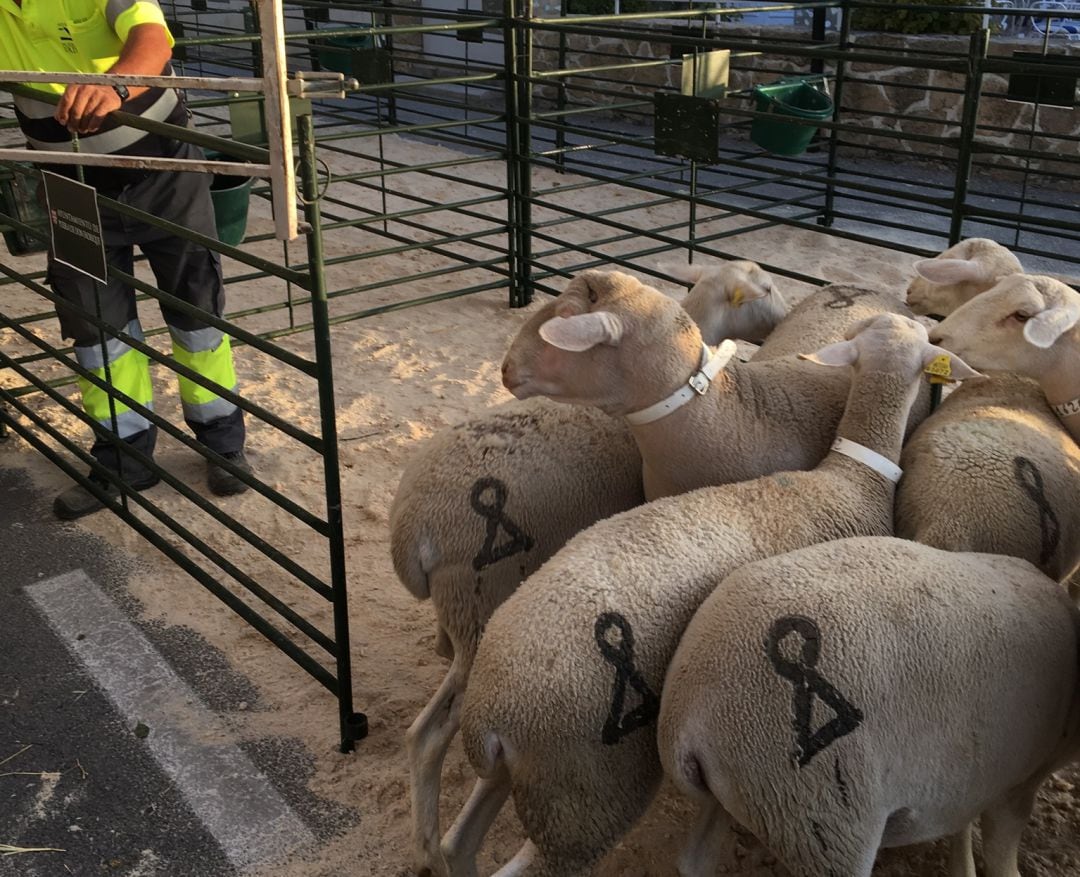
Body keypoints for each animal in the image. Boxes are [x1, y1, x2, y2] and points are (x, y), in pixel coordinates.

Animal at [395, 262, 786, 877]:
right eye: (764, 288)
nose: (506, 371)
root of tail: (411, 531)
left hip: (468, 623)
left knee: (418, 735)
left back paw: (428, 847)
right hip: (481, 605)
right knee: (434, 736)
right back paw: (432, 847)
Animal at [656, 533, 1080, 877]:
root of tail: (686, 707)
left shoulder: (975, 773)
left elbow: (962, 825)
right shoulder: (1021, 781)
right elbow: (1000, 852)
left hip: (744, 795)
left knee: (694, 861)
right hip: (823, 818)